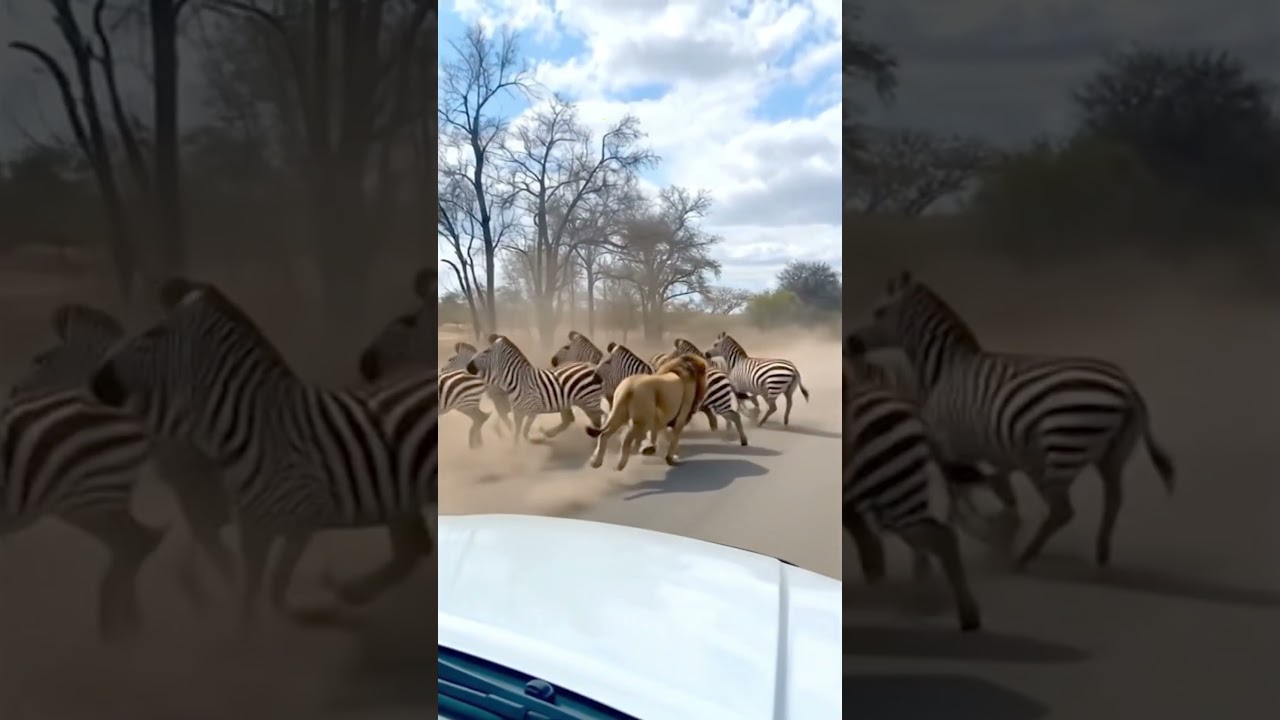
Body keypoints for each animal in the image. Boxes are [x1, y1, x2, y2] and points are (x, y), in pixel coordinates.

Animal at [85, 278, 437, 626]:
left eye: (153, 334)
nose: (97, 381)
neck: (260, 431)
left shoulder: (295, 525)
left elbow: (268, 586)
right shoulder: (257, 529)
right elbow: (256, 589)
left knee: (412, 546)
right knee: (412, 547)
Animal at [464, 334, 604, 443]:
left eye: (486, 351)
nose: (468, 366)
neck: (518, 382)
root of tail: (591, 365)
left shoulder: (532, 412)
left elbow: (524, 430)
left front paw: (529, 443)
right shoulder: (517, 413)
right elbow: (517, 432)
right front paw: (517, 448)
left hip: (589, 402)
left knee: (597, 420)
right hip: (583, 403)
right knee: (578, 419)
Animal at [845, 271, 1176, 571]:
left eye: (879, 311)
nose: (849, 341)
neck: (945, 370)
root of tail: (1128, 387)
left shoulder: (949, 445)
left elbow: (960, 497)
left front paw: (987, 535)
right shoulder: (997, 454)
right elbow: (1001, 494)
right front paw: (1002, 532)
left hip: (1064, 445)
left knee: (1062, 511)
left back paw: (1024, 558)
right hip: (1111, 457)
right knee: (1113, 500)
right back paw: (1101, 556)